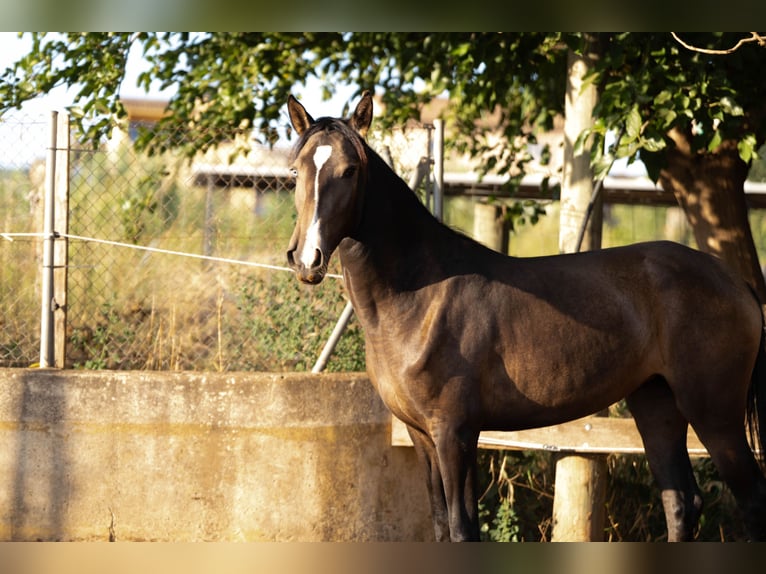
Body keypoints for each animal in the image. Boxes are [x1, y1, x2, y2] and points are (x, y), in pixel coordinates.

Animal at [284, 90, 766, 542]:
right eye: (295, 172)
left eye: (350, 170)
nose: (307, 259)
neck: (417, 297)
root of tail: (734, 280)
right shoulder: (421, 436)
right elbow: (440, 526)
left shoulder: (455, 433)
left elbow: (462, 528)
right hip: (657, 404)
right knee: (680, 503)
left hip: (715, 415)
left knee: (749, 500)